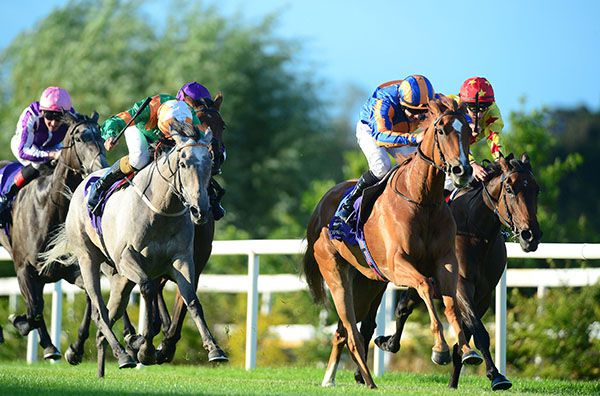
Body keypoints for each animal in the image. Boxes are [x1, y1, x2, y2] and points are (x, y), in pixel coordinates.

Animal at [0, 110, 106, 358]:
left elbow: (90, 298)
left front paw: (75, 349)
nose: (101, 166)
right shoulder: (23, 269)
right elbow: (35, 310)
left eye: (100, 135)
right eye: (79, 137)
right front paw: (22, 324)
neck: (48, 210)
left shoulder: (68, 269)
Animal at [41, 121, 225, 378]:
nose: (200, 210)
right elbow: (147, 289)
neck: (160, 210)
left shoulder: (182, 260)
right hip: (89, 260)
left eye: (209, 163)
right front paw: (145, 349)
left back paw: (106, 363)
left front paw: (213, 348)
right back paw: (121, 353)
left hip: (119, 279)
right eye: (183, 163)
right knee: (99, 311)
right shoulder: (127, 259)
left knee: (109, 312)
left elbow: (192, 301)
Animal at [304, 96, 478, 390]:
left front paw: (467, 350)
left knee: (344, 331)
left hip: (368, 282)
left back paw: (336, 378)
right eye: (441, 130)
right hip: (336, 274)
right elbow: (425, 285)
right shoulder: (397, 264)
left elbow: (451, 302)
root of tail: (320, 209)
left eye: (467, 131)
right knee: (351, 332)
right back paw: (367, 380)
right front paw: (440, 349)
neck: (422, 199)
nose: (462, 170)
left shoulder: (446, 261)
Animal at [372, 154, 540, 390]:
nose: (530, 236)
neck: (476, 233)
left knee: (404, 306)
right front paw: (496, 375)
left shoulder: (484, 295)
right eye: (509, 188)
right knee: (398, 307)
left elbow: (468, 331)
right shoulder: (461, 286)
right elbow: (479, 331)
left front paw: (460, 369)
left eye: (536, 189)